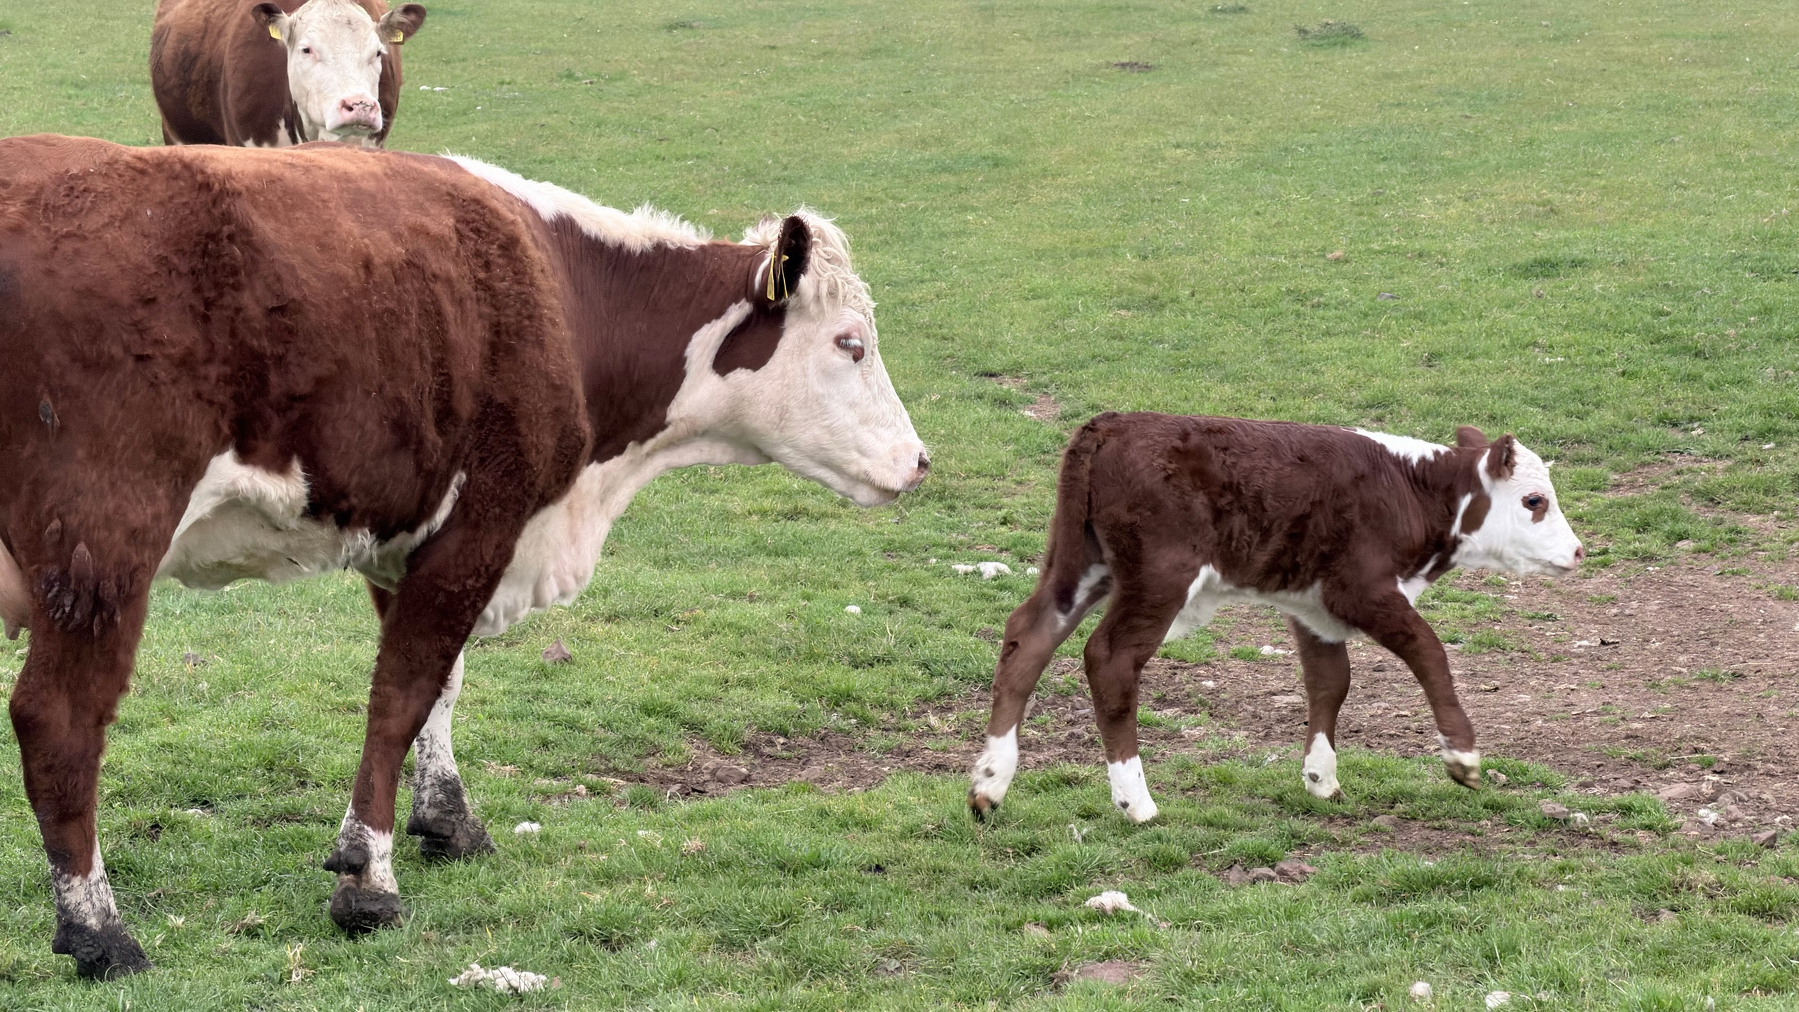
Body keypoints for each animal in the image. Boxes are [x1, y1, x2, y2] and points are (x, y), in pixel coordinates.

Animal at [0, 135, 926, 978]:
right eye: (849, 343)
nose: (917, 461)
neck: (567, 297)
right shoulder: (483, 522)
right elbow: (400, 696)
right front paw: (367, 878)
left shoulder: (409, 538)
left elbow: (437, 685)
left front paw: (446, 818)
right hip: (103, 550)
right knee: (58, 720)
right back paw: (100, 933)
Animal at [967, 413, 1583, 824]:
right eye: (1534, 500)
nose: (1578, 552)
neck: (1411, 490)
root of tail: (1113, 423)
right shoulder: (1362, 590)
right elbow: (1429, 651)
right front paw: (1462, 756)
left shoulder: (1314, 608)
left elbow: (1330, 682)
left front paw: (1321, 778)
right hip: (1158, 577)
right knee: (1111, 659)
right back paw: (1136, 802)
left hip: (1081, 564)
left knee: (1028, 637)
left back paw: (990, 783)